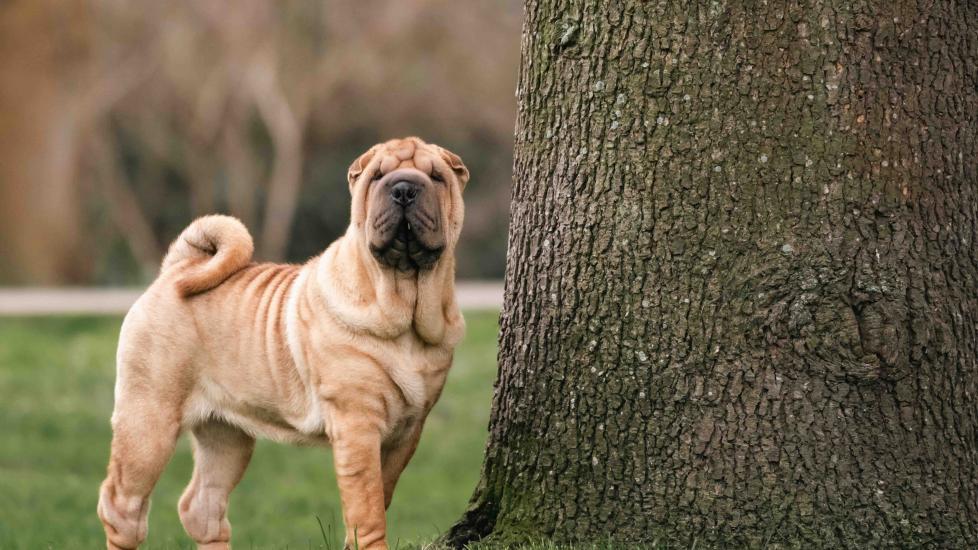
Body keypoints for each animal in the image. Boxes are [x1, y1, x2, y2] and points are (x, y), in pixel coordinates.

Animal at [96, 138, 468, 550]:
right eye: (377, 177)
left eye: (437, 177)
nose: (403, 188)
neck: (405, 308)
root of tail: (176, 270)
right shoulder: (357, 425)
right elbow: (367, 507)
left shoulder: (407, 430)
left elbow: (380, 495)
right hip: (149, 421)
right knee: (121, 505)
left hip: (226, 435)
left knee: (202, 506)